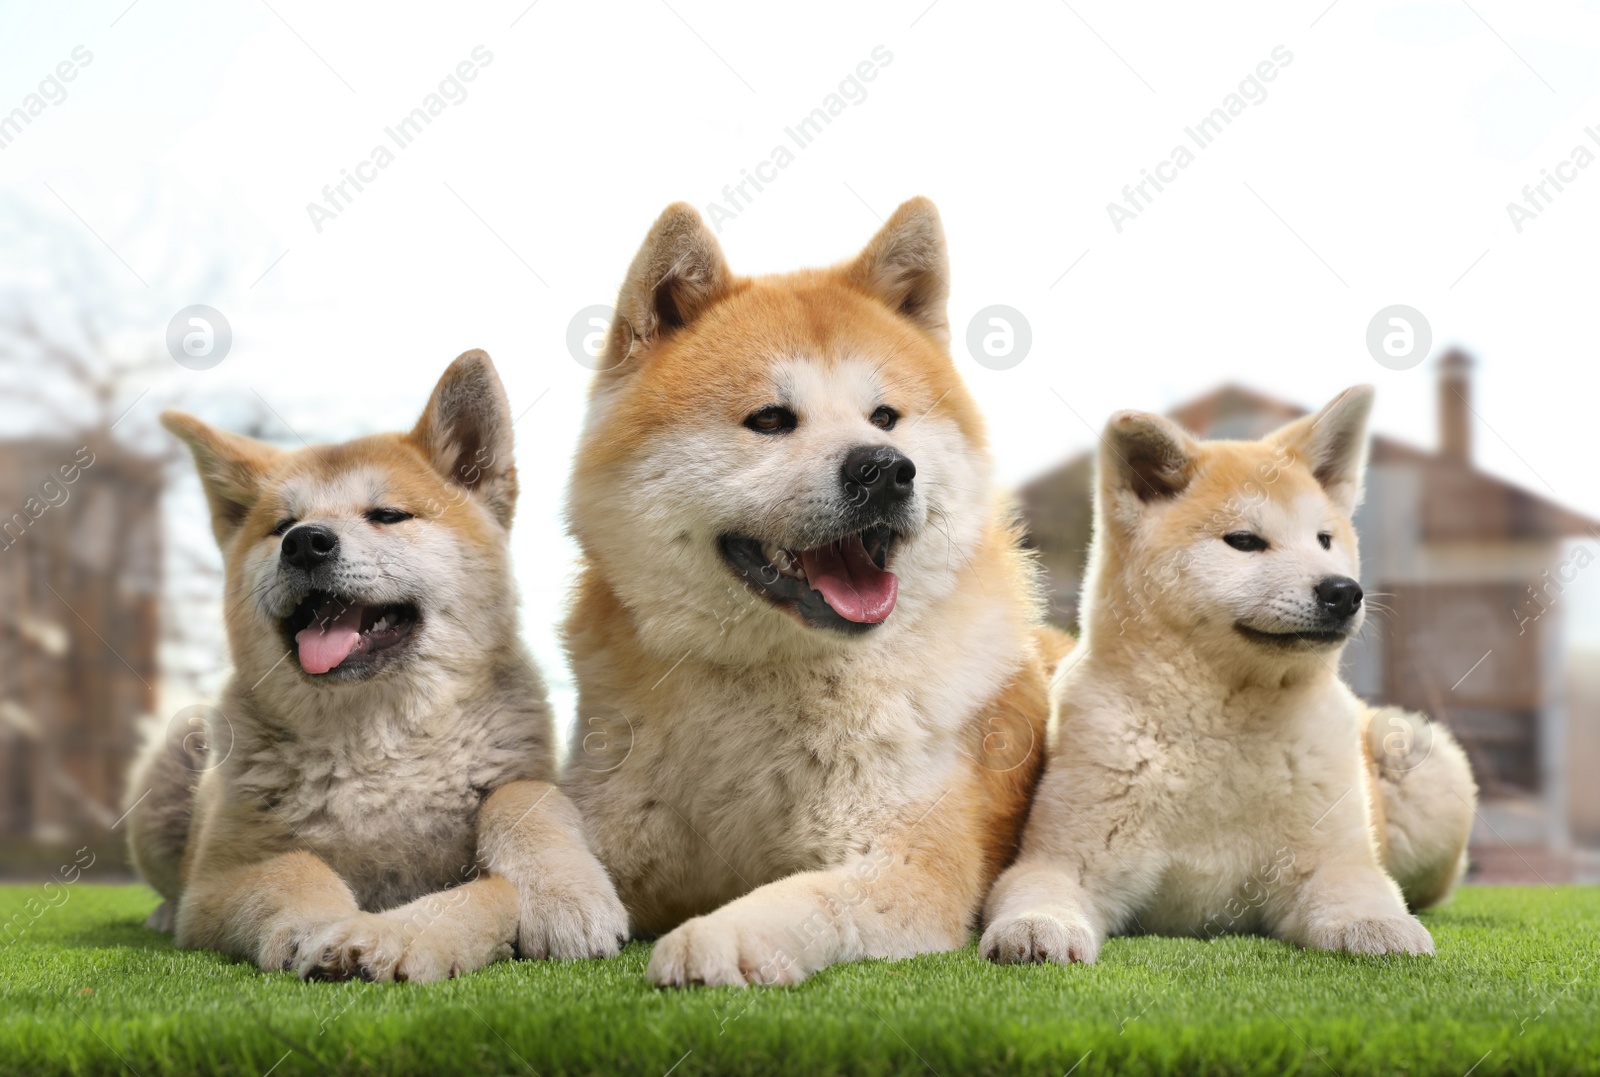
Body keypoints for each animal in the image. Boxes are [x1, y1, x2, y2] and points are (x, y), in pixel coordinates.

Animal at [128, 355, 627, 985]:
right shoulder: (214, 882)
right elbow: (291, 866)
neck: (379, 748)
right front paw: (322, 926)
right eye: (281, 525)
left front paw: (565, 897)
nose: (305, 542)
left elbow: (522, 803)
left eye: (387, 515)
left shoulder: (519, 783)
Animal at [563, 193, 1062, 985]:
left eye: (885, 418)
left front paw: (715, 937)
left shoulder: (908, 864)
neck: (765, 680)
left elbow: (799, 898)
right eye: (770, 419)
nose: (885, 469)